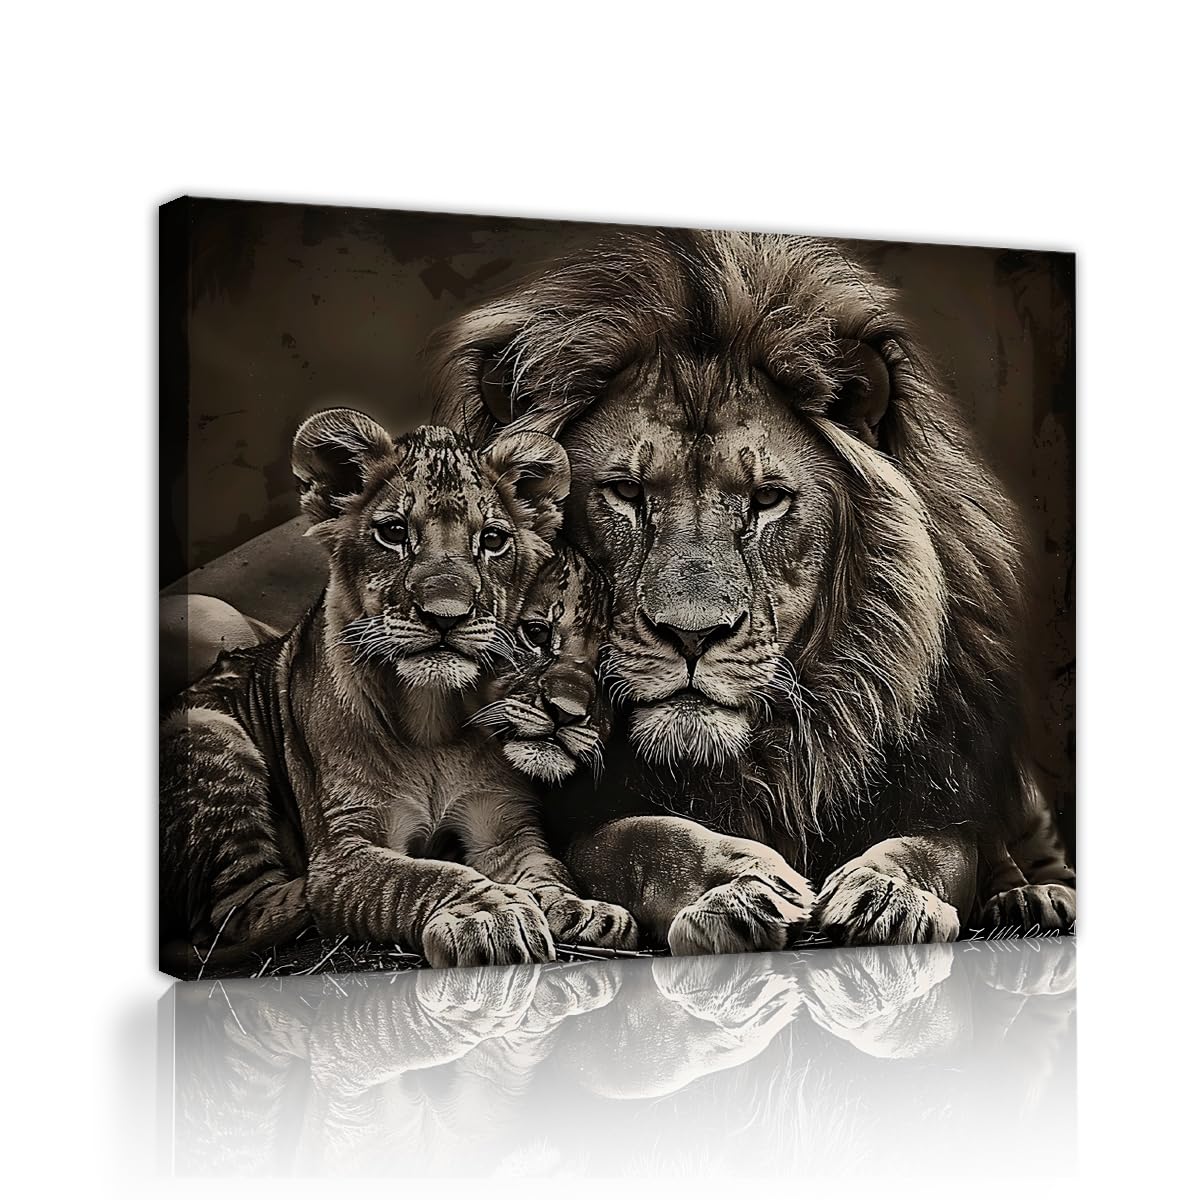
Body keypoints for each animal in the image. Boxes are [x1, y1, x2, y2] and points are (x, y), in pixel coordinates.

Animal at [159, 412, 636, 974]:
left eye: (492, 540)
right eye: (393, 533)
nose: (446, 615)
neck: (434, 724)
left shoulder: (505, 827)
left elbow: (546, 870)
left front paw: (581, 908)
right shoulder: (351, 845)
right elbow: (420, 876)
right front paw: (488, 913)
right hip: (208, 730)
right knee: (238, 914)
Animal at [430, 229, 1071, 949]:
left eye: (766, 500)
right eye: (626, 492)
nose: (692, 636)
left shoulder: (939, 795)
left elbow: (929, 850)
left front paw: (887, 894)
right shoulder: (583, 822)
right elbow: (651, 842)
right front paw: (746, 886)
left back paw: (1035, 896)